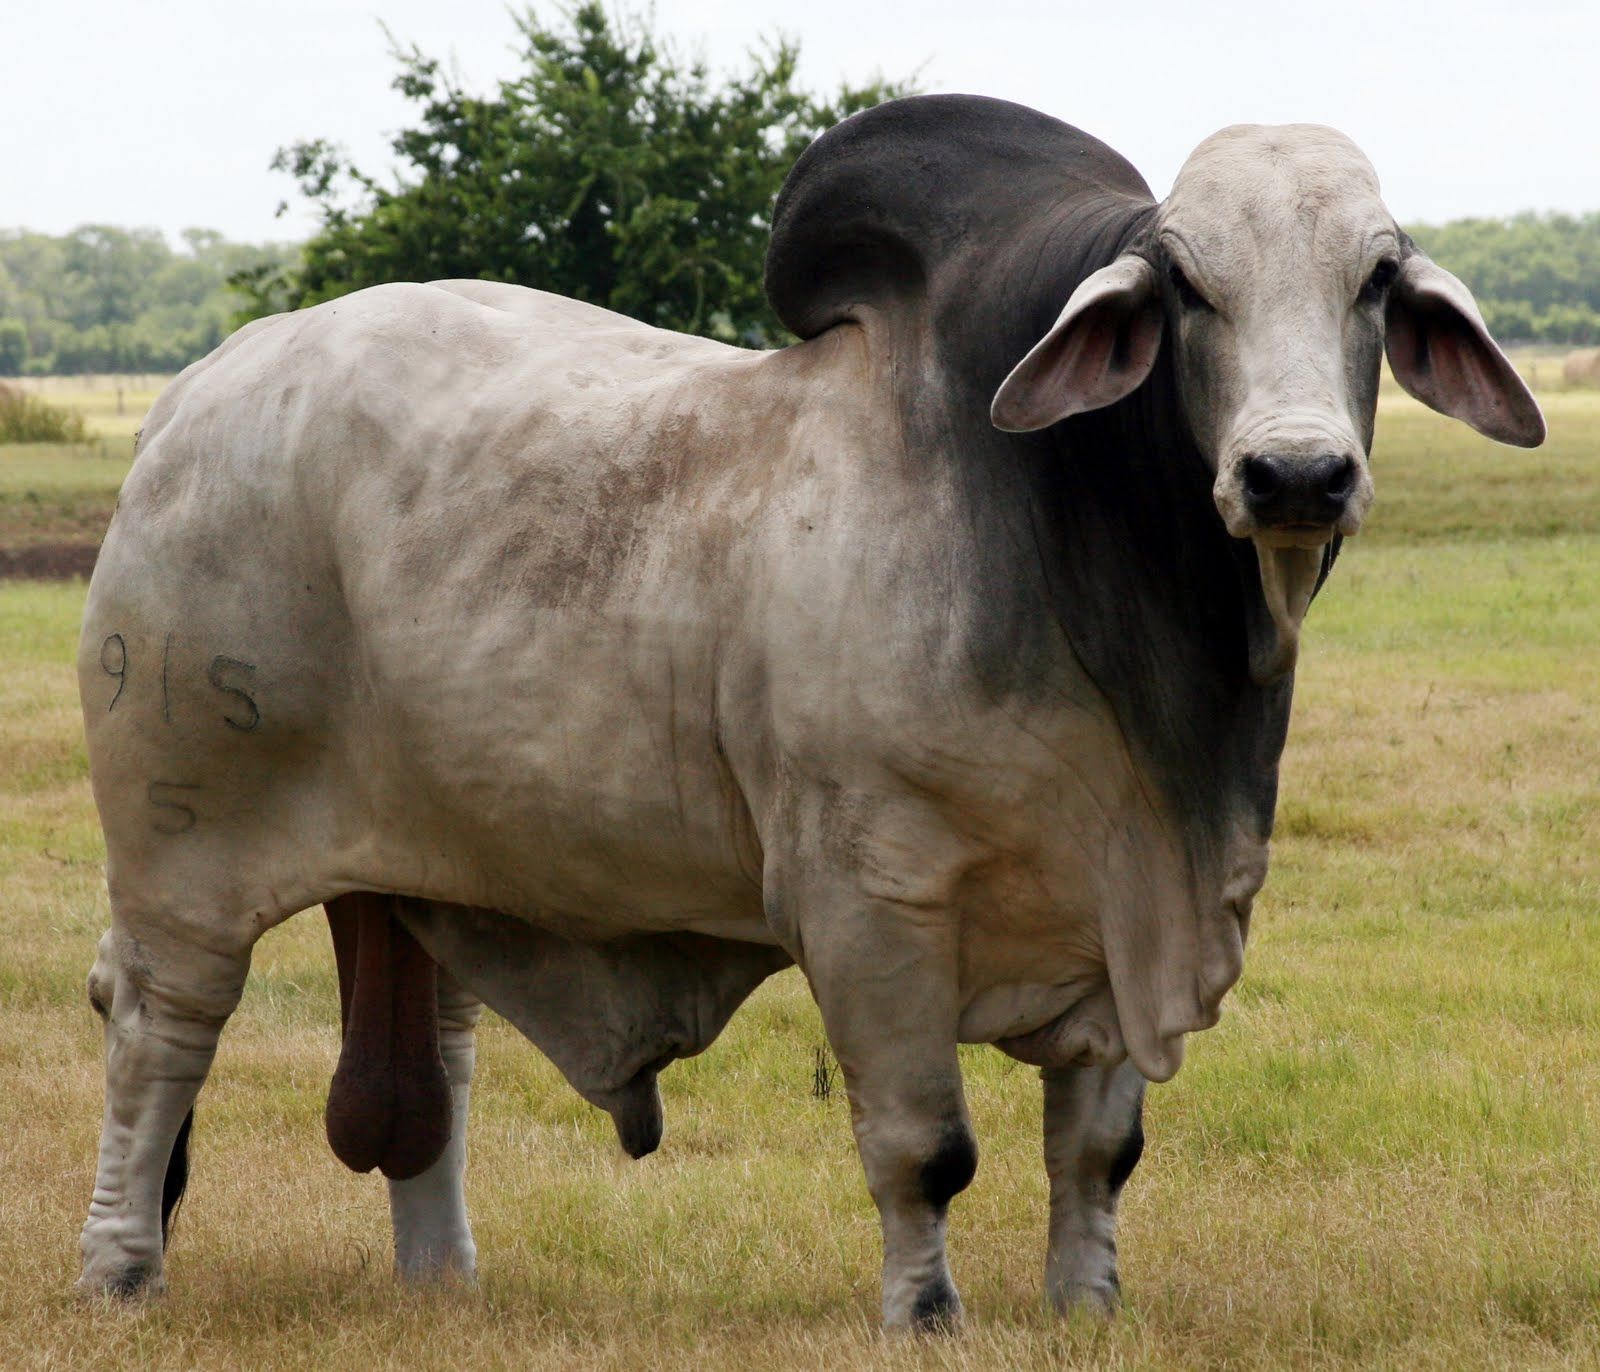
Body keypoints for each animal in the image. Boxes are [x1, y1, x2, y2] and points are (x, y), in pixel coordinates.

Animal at [75, 95, 1543, 1327]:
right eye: (1185, 282)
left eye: (1375, 278)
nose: (1295, 473)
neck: (1074, 546)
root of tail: (194, 394)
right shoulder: (870, 902)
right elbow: (923, 1147)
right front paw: (924, 1313)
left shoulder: (1131, 907)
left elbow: (1098, 1149)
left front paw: (1085, 1307)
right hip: (180, 846)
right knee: (156, 1030)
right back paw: (121, 1268)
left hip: (430, 871)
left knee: (434, 1060)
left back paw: (445, 1280)